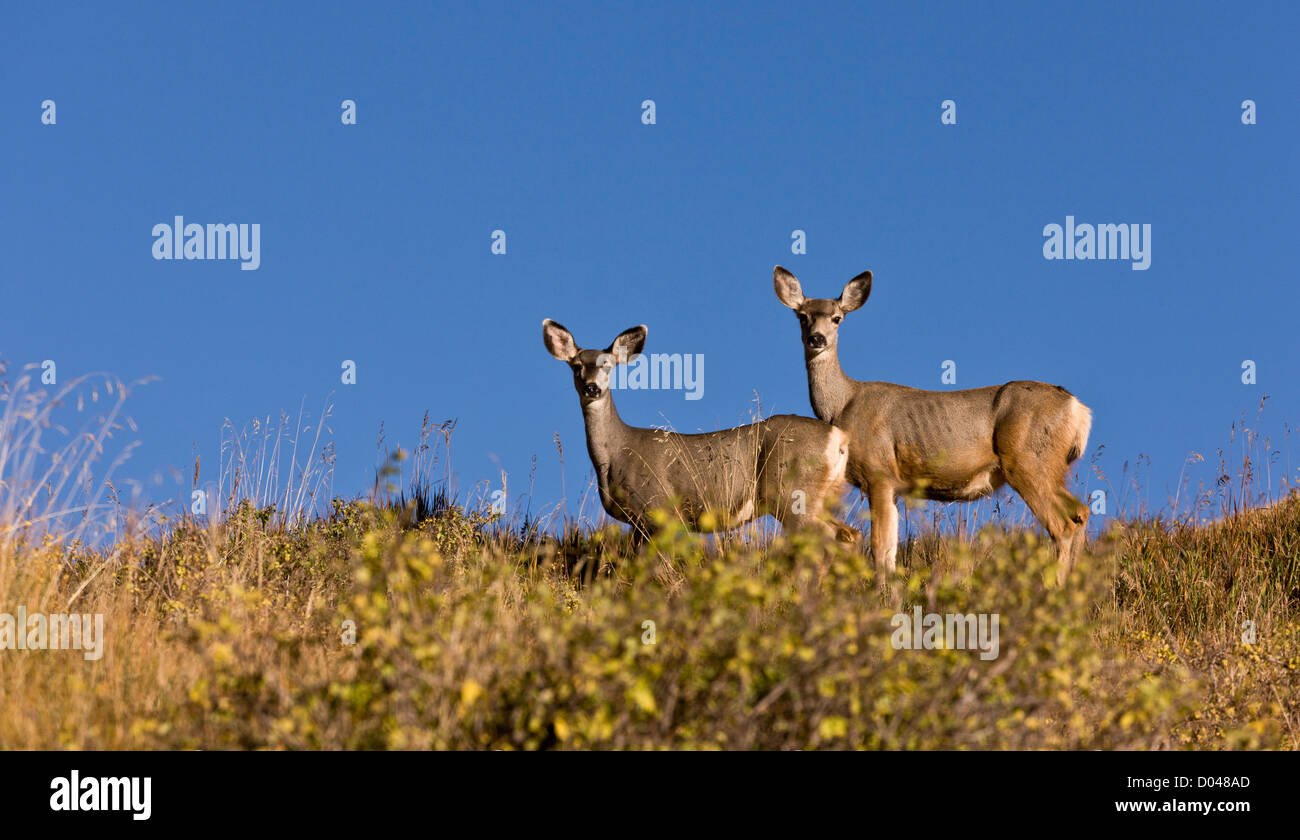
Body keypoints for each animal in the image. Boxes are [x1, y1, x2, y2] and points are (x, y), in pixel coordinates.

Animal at [543, 317, 857, 546]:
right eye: (576, 366)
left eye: (607, 365)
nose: (592, 388)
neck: (615, 454)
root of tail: (839, 439)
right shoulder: (639, 524)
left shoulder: (659, 509)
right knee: (849, 534)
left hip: (792, 492)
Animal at [769, 270, 1097, 585]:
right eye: (802, 316)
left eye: (837, 317)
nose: (817, 339)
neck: (844, 404)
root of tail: (1078, 408)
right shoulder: (895, 487)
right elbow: (891, 550)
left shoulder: (879, 474)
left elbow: (880, 549)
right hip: (1050, 466)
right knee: (1081, 512)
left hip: (1028, 460)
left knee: (1063, 526)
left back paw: (1055, 588)